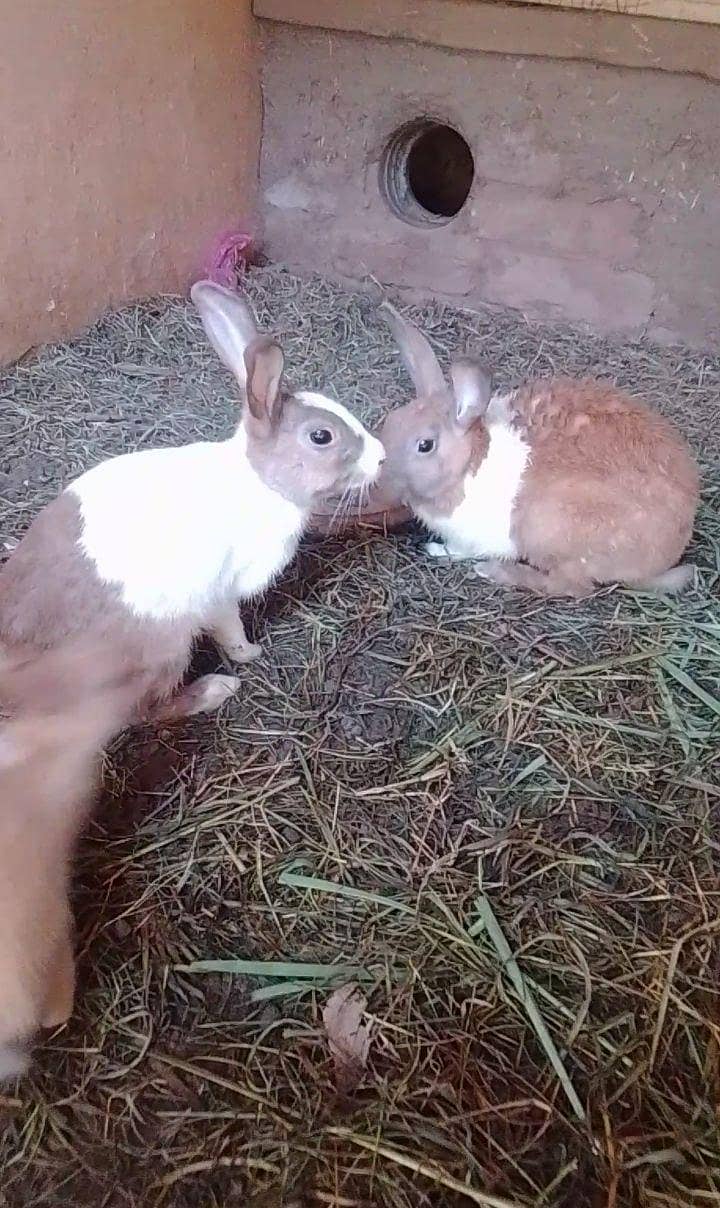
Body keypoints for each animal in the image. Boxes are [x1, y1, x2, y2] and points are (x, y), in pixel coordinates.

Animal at [0, 281, 385, 724]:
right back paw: (216, 689)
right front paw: (251, 653)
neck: (260, 481)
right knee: (146, 710)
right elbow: (231, 631)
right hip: (162, 649)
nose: (381, 457)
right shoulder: (221, 595)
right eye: (321, 436)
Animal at [374, 303, 699, 598]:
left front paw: (436, 549)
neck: (469, 464)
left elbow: (462, 549)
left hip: (550, 530)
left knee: (571, 586)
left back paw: (495, 571)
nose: (381, 469)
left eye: (425, 445)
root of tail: (666, 555)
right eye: (390, 422)